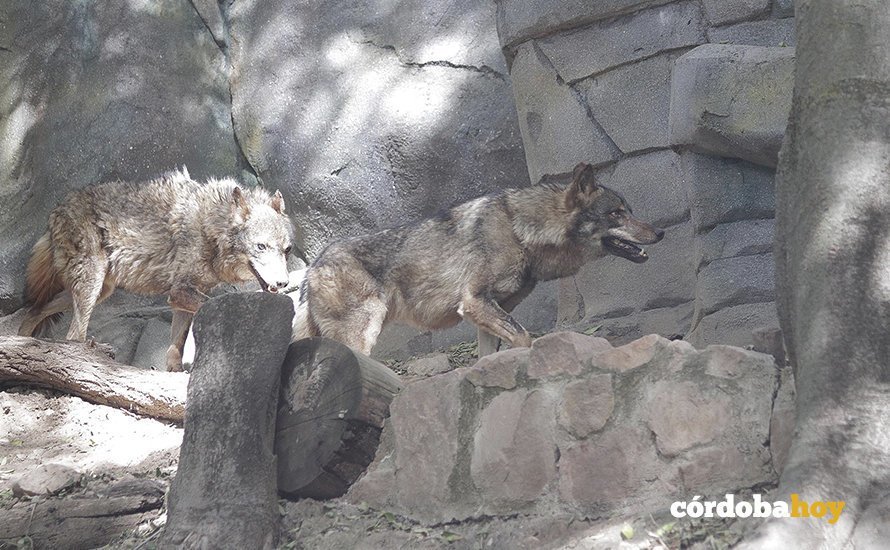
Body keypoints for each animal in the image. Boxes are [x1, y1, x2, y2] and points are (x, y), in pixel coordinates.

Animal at [18, 167, 295, 371]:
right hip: (92, 284)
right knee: (72, 335)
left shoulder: (182, 296)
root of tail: (57, 208)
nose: (283, 283)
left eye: (287, 249)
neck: (211, 227)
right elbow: (213, 305)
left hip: (101, 290)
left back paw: (20, 343)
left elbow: (177, 344)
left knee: (34, 310)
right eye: (261, 246)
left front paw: (174, 373)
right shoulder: (180, 291)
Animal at [292, 162, 664, 356]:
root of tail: (314, 265)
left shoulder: (488, 313)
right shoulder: (474, 303)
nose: (660, 232)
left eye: (629, 211)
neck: (519, 230)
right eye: (616, 213)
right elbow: (525, 338)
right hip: (362, 334)